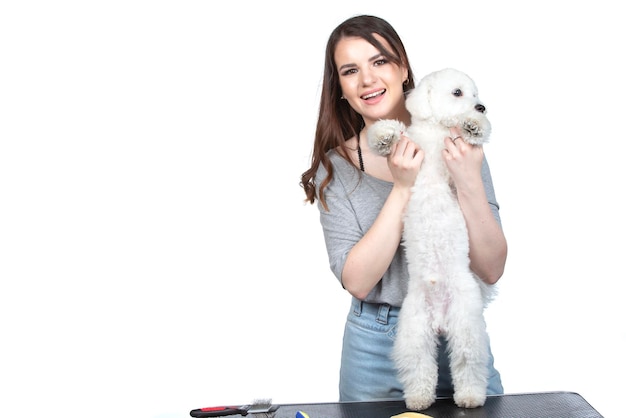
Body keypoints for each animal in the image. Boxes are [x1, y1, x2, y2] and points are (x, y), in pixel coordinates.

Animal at [366, 67, 492, 410]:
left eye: (476, 95)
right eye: (458, 93)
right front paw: (382, 135)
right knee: (420, 366)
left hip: (466, 327)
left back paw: (470, 396)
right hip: (413, 333)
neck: (437, 130)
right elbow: (396, 134)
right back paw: (419, 399)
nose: (481, 108)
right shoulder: (414, 144)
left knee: (468, 363)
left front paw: (475, 125)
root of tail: (440, 321)